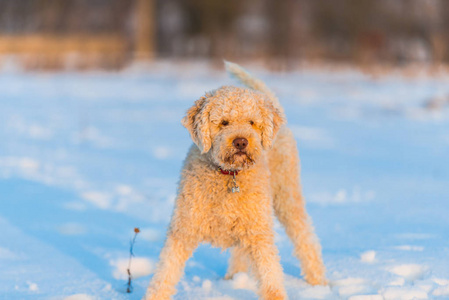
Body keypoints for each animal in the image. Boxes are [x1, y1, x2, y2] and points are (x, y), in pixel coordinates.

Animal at [144, 61, 326, 300]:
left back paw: (319, 283)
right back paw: (234, 279)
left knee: (305, 237)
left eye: (252, 122)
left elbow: (270, 278)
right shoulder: (183, 228)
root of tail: (272, 102)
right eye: (223, 122)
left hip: (285, 194)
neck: (229, 176)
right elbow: (164, 275)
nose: (241, 141)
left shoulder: (260, 233)